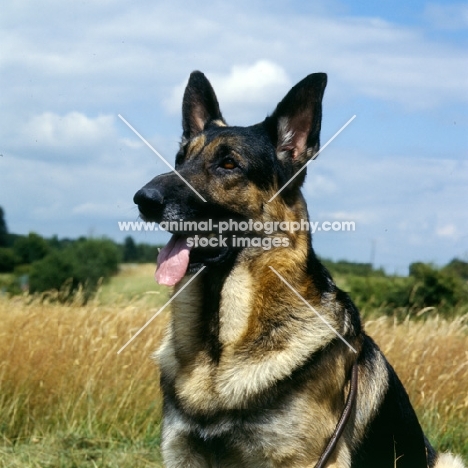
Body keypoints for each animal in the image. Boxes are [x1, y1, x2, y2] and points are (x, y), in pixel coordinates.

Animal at [133, 71, 466, 466]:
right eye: (179, 159)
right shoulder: (183, 453)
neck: (218, 346)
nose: (142, 200)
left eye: (228, 164)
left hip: (447, 458)